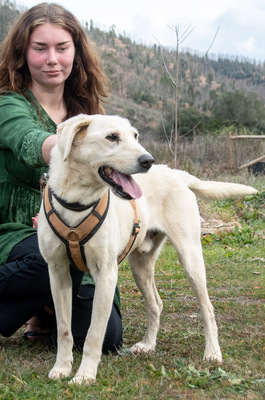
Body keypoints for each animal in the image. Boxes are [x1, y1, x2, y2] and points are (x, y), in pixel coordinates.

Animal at [36, 113, 256, 384]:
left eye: (135, 136)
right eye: (112, 137)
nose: (148, 160)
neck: (78, 201)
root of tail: (176, 173)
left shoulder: (106, 275)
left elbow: (94, 335)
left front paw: (85, 375)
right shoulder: (58, 273)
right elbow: (64, 330)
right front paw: (62, 367)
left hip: (190, 257)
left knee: (207, 308)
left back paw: (213, 352)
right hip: (140, 266)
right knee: (156, 304)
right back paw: (148, 345)